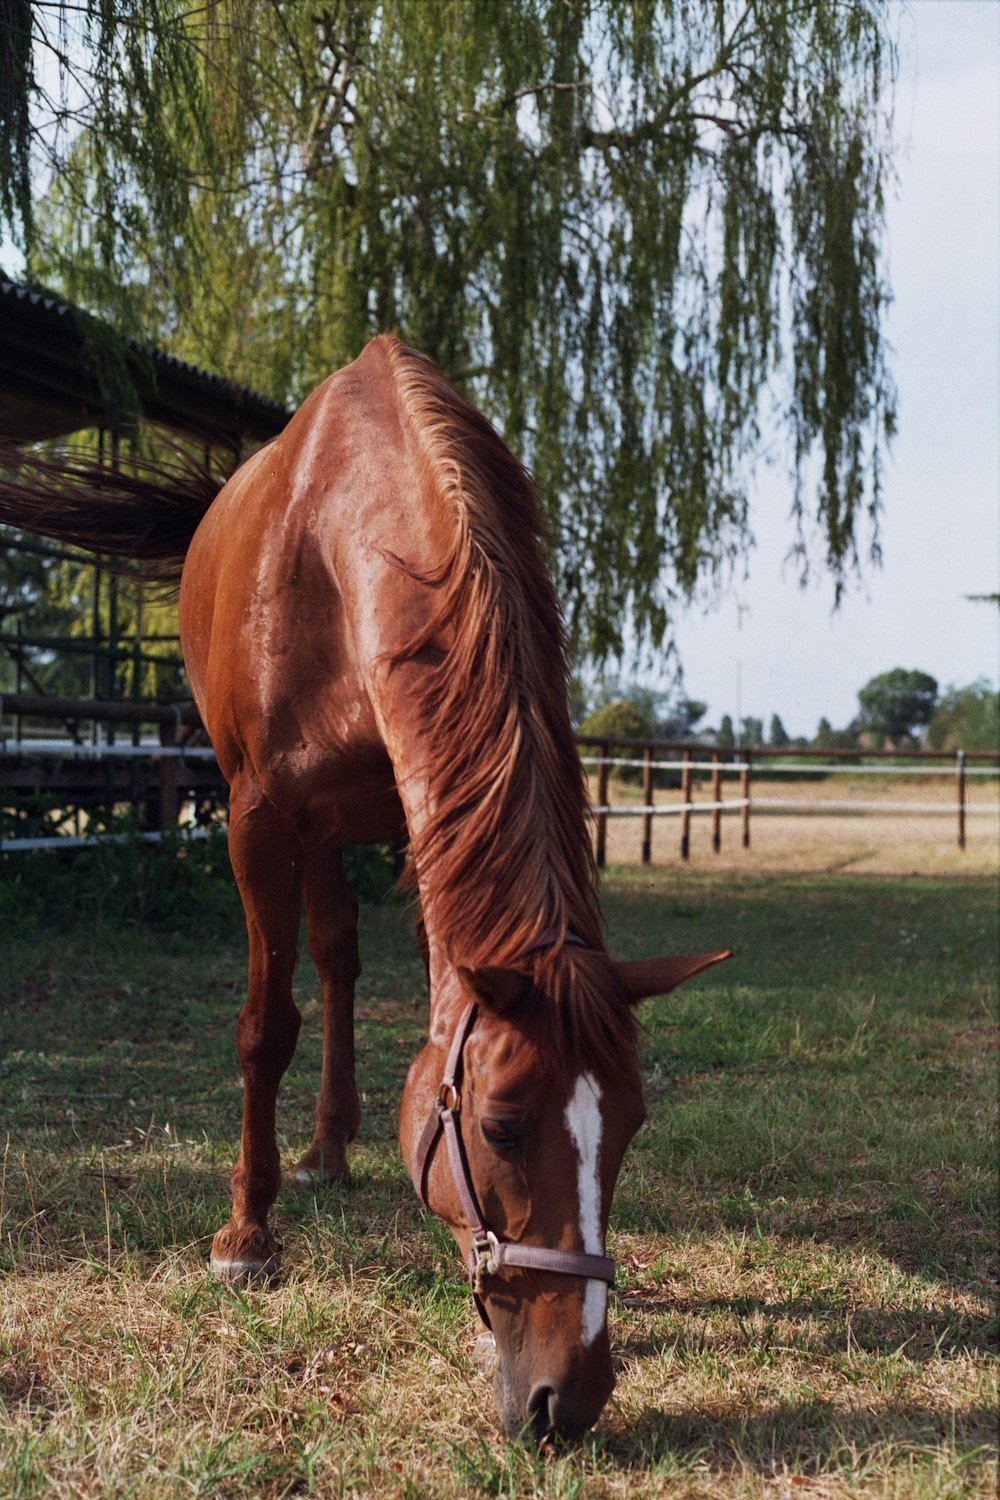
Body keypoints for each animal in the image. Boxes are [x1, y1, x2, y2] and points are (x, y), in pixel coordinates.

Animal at [0, 334, 728, 1434]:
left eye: (633, 1124)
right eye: (501, 1126)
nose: (568, 1397)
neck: (337, 540)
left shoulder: (423, 822)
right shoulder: (258, 819)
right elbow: (267, 1025)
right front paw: (244, 1238)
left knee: (340, 957)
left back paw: (330, 1150)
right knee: (326, 962)